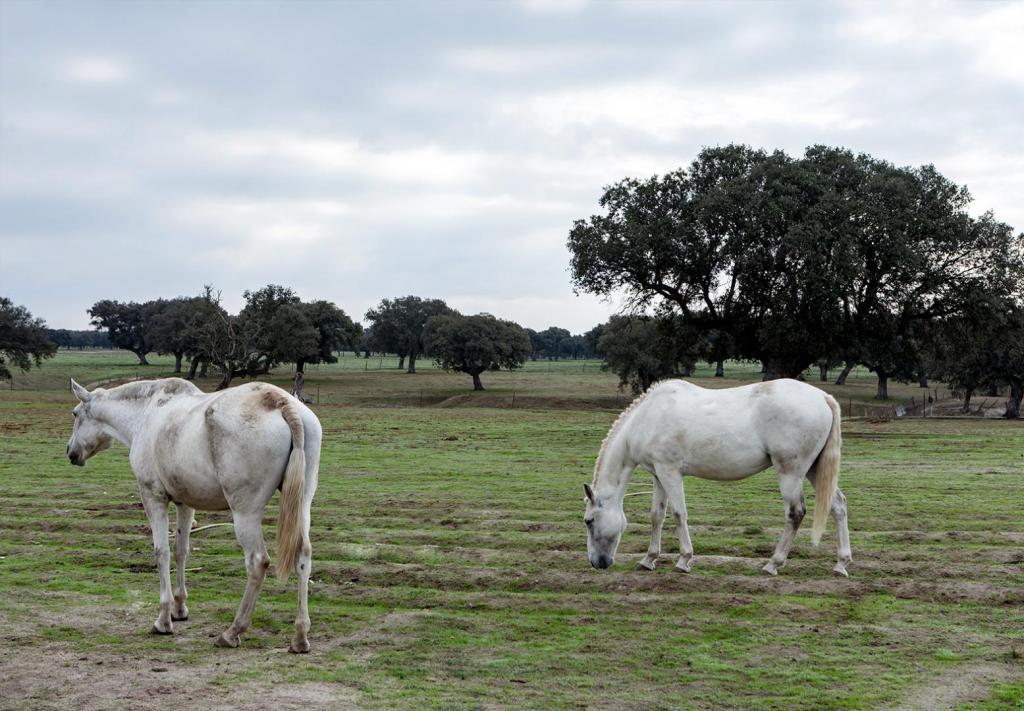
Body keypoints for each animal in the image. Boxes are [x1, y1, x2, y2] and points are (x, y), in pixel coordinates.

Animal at [67, 381, 319, 655]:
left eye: (75, 414)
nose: (70, 452)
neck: (145, 413)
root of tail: (279, 402)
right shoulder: (184, 504)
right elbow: (181, 551)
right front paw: (179, 608)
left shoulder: (153, 497)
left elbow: (162, 553)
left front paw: (163, 619)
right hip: (302, 503)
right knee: (303, 556)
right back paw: (300, 635)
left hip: (245, 513)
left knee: (257, 562)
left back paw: (233, 631)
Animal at [585, 381, 847, 577]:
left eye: (588, 521)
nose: (597, 563)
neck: (649, 417)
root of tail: (823, 397)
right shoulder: (658, 475)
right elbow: (656, 516)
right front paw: (649, 559)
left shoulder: (670, 472)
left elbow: (679, 514)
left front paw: (684, 560)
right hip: (814, 470)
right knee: (838, 506)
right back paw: (841, 564)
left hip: (791, 473)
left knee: (795, 513)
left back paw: (773, 564)